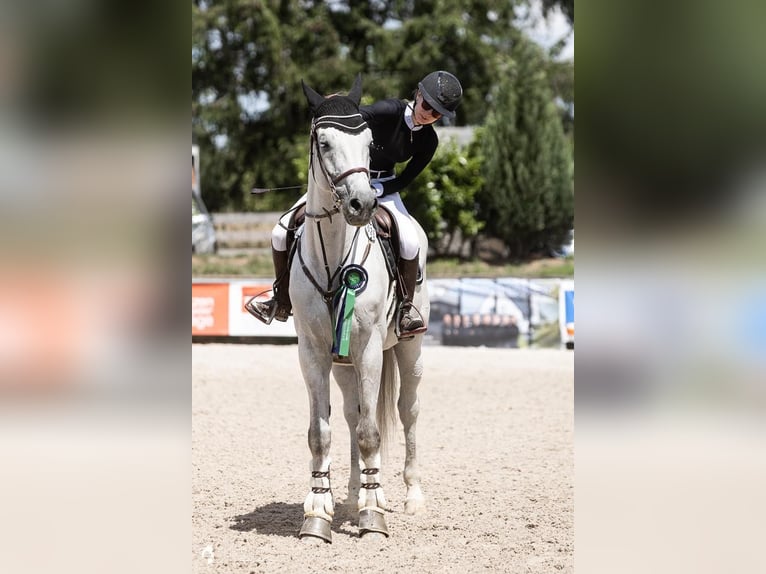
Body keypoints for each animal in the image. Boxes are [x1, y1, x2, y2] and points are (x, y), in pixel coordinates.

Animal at [290, 74, 429, 543]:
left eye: (369, 143)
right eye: (324, 142)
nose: (362, 205)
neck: (333, 253)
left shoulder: (369, 348)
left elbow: (372, 432)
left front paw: (372, 517)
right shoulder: (312, 351)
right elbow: (321, 432)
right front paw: (318, 512)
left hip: (408, 349)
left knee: (406, 411)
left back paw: (407, 496)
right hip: (343, 363)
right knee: (352, 415)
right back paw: (353, 493)